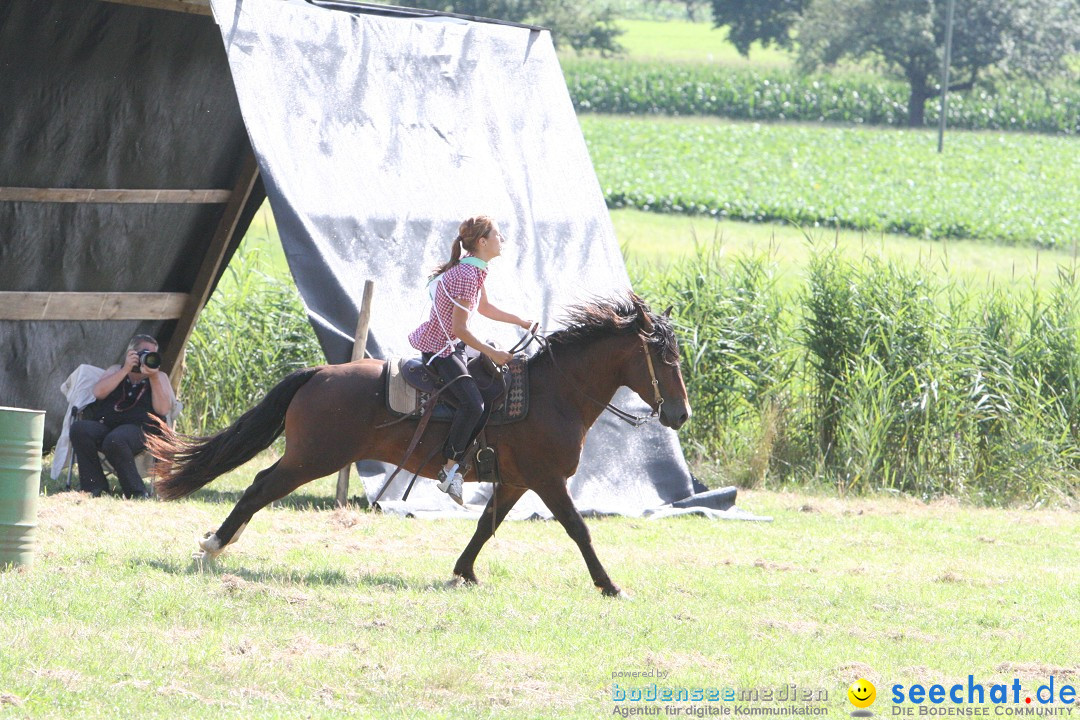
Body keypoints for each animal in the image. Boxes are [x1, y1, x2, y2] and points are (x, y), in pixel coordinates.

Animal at [147, 293, 691, 595]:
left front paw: (465, 572)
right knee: (260, 487)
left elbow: (486, 527)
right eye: (665, 359)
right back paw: (214, 545)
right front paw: (609, 585)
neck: (554, 393)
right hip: (312, 459)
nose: (679, 413)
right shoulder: (547, 480)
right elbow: (580, 530)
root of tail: (319, 372)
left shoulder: (516, 481)